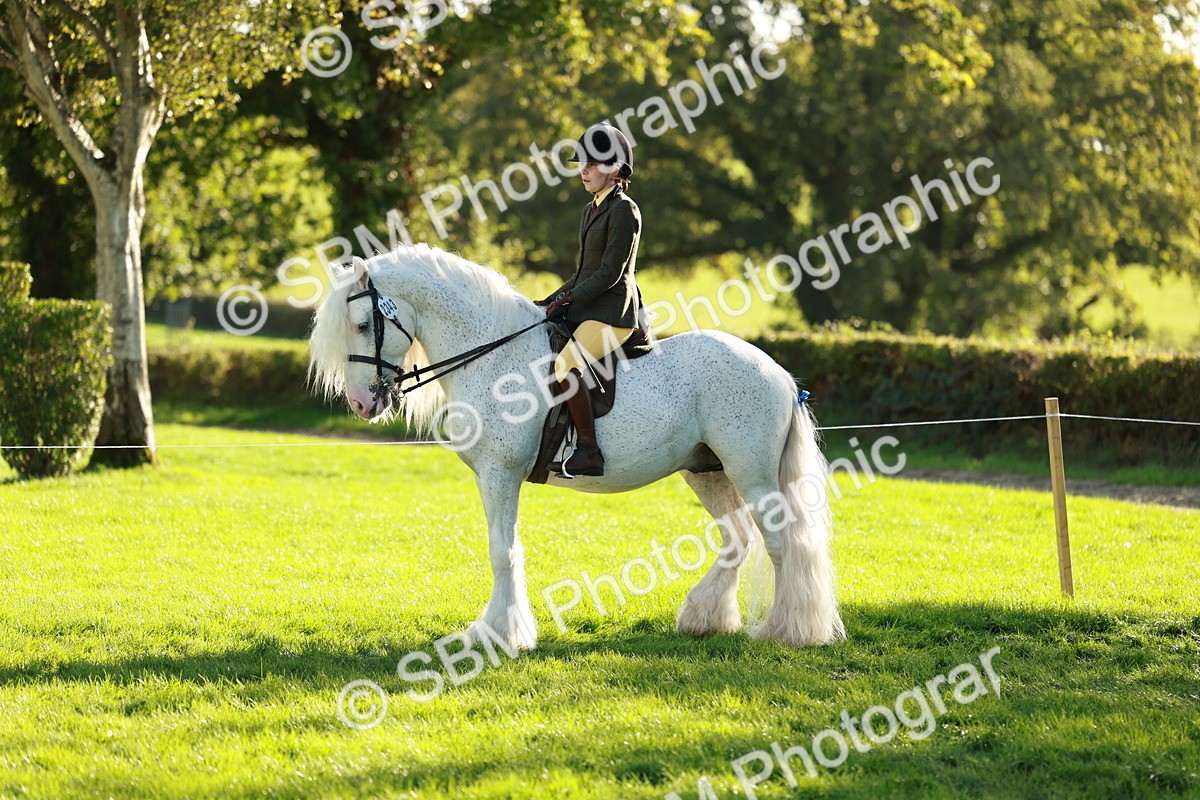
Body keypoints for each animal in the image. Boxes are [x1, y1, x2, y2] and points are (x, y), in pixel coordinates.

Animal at [308, 244, 845, 650]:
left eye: (361, 325)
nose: (361, 403)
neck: (494, 354)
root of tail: (777, 372)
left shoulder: (500, 473)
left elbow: (502, 551)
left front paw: (501, 636)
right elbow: (505, 549)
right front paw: (503, 630)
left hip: (751, 473)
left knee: (781, 543)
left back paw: (786, 631)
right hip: (707, 471)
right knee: (738, 539)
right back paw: (704, 618)